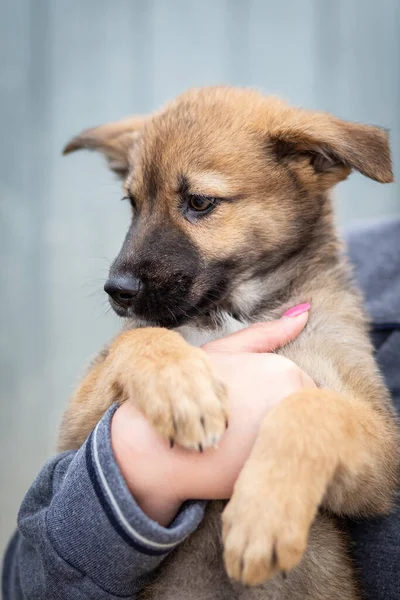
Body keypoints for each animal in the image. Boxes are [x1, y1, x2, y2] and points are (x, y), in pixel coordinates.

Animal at [59, 85, 400, 600]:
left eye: (199, 202)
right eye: (133, 203)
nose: (117, 291)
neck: (234, 309)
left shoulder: (380, 444)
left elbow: (313, 407)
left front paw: (263, 517)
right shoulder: (72, 433)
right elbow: (141, 339)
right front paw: (181, 388)